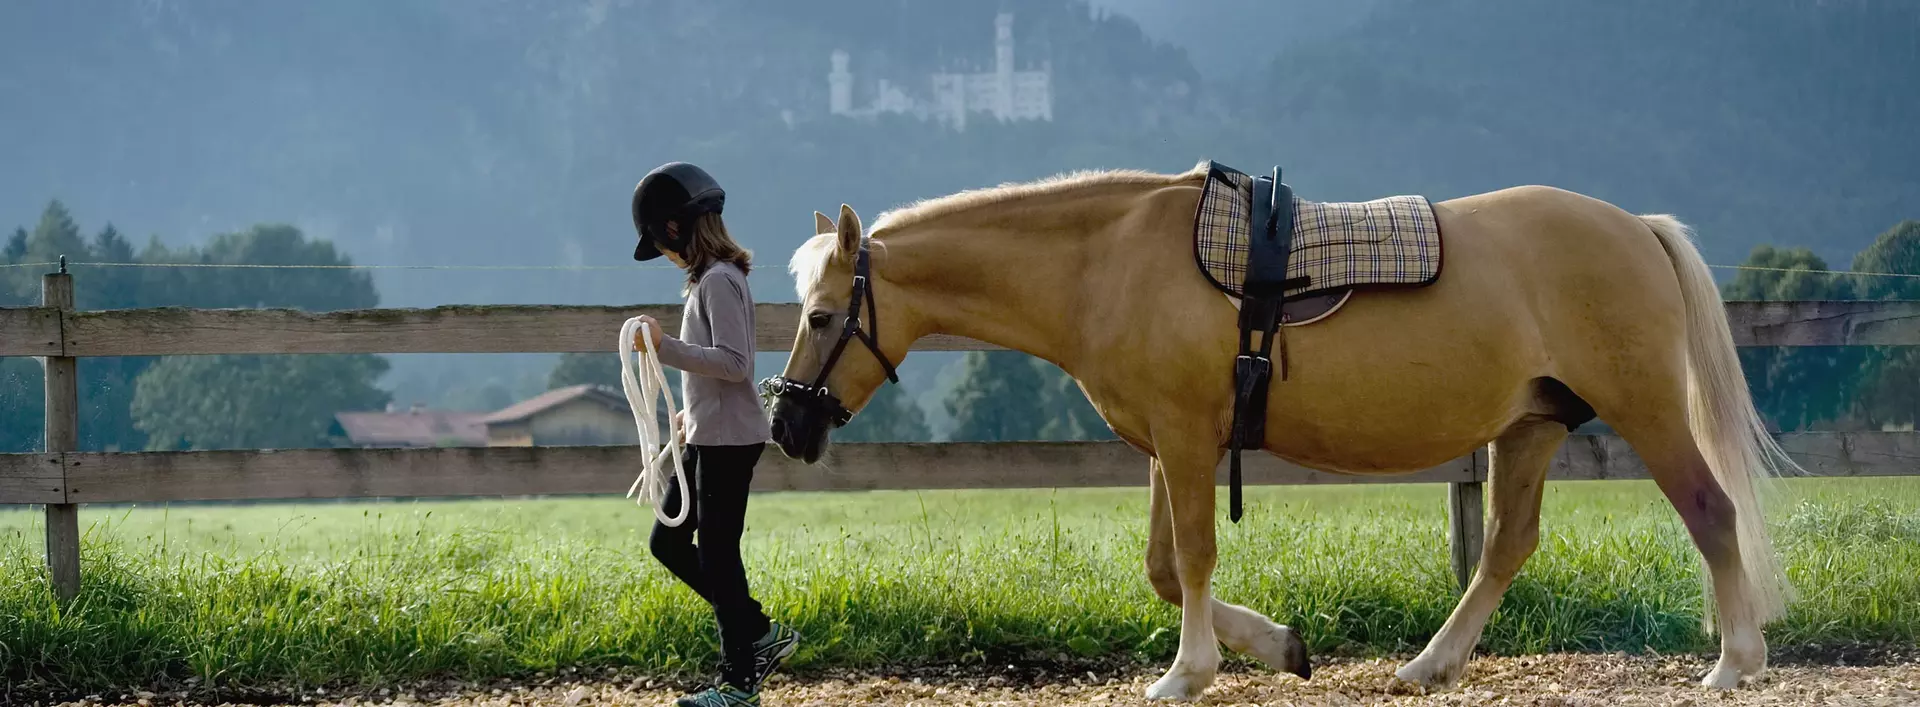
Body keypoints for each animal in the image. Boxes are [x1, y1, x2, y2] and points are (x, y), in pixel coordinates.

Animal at [764, 161, 1797, 703]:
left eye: (822, 316)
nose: (787, 422)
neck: (1107, 262)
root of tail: (1636, 227)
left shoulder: (1187, 438)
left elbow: (1190, 557)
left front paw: (1186, 672)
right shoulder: (1166, 443)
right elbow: (1163, 567)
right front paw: (1282, 646)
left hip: (1645, 409)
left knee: (1709, 512)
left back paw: (1734, 663)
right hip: (1531, 426)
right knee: (1506, 546)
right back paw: (1429, 662)